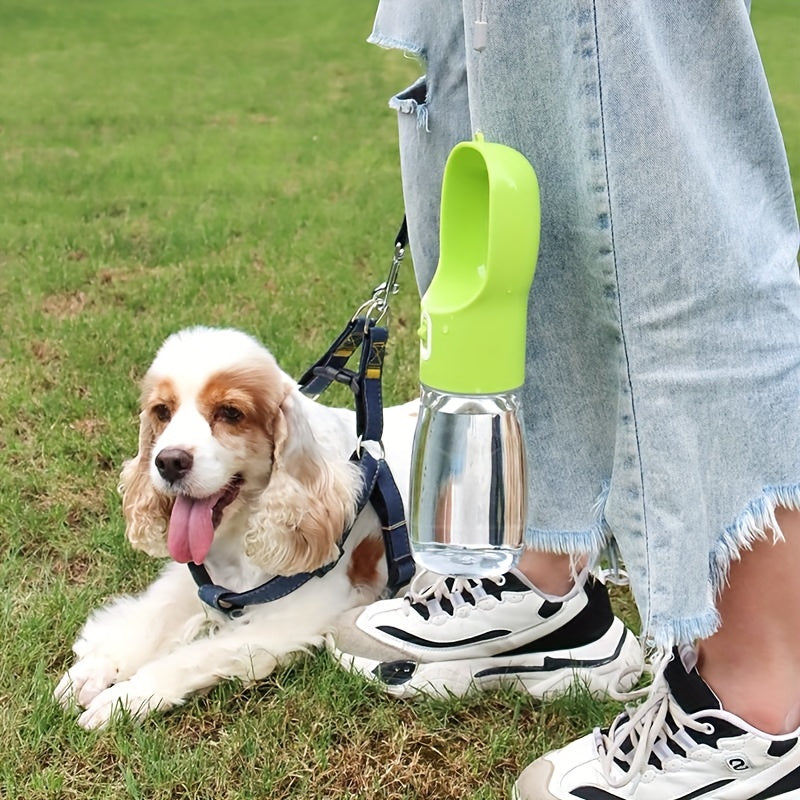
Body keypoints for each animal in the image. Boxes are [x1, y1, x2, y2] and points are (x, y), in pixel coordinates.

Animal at [54, 326, 418, 732]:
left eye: (230, 412)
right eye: (162, 411)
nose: (169, 462)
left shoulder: (299, 615)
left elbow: (190, 657)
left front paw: (123, 698)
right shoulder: (203, 581)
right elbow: (152, 618)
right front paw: (94, 669)